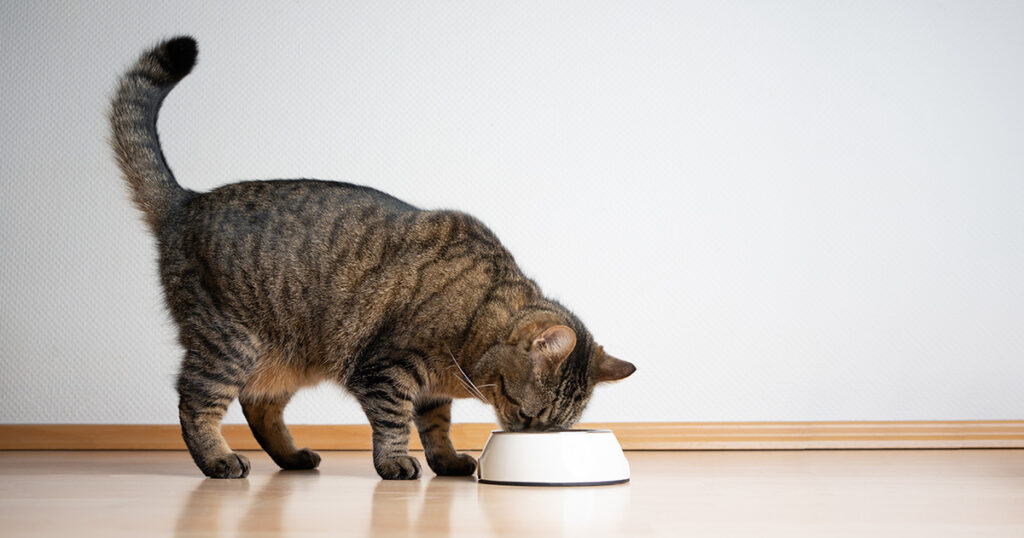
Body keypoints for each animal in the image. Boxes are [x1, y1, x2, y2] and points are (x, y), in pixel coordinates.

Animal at [110, 38, 630, 481]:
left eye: (549, 427)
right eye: (527, 415)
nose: (526, 437)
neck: (476, 319)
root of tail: (187, 201)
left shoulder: (432, 391)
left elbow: (436, 427)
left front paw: (446, 461)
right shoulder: (388, 369)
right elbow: (396, 422)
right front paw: (396, 464)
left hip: (284, 357)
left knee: (258, 406)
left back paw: (293, 457)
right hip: (230, 343)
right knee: (195, 402)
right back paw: (218, 460)